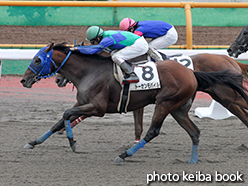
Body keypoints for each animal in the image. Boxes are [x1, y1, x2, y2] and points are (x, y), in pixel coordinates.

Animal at [20, 42, 248, 163]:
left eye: (38, 60)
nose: (23, 80)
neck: (90, 72)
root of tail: (191, 73)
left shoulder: (98, 108)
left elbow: (67, 114)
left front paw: (72, 142)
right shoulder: (83, 103)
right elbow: (61, 119)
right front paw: (33, 142)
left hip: (168, 103)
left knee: (153, 131)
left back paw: (124, 155)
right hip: (179, 109)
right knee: (195, 132)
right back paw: (192, 160)